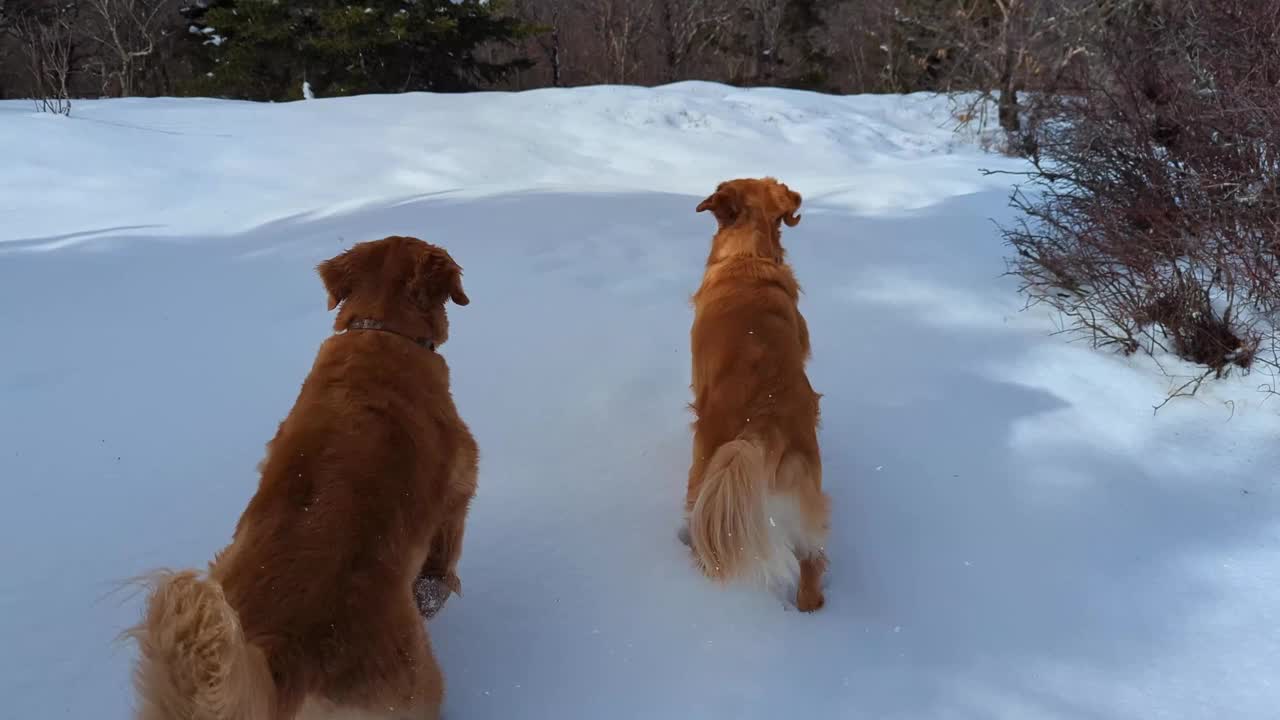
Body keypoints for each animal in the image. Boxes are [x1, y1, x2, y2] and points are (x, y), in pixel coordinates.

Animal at [127, 237, 478, 717]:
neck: (382, 328)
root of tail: (284, 657)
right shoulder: (461, 481)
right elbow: (444, 557)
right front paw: (437, 589)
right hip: (417, 685)